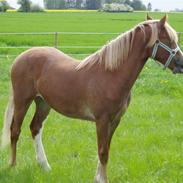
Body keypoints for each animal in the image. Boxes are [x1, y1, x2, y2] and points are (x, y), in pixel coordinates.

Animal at [1, 14, 183, 183]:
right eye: (168, 40)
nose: (181, 64)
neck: (111, 75)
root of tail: (21, 57)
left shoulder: (115, 120)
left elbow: (106, 149)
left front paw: (98, 177)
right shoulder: (102, 120)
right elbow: (102, 151)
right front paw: (102, 179)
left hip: (43, 103)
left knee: (35, 127)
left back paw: (45, 166)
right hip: (22, 100)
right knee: (15, 130)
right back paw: (13, 165)